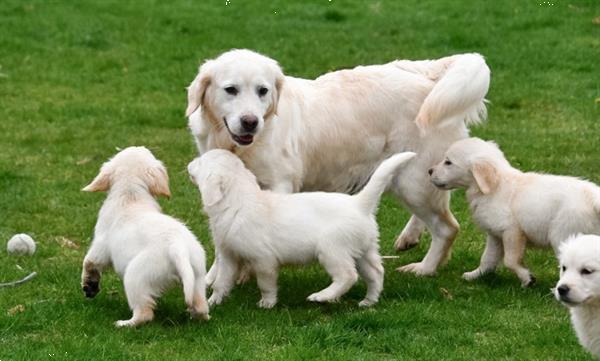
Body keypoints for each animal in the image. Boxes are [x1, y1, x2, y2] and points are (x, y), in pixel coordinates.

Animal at [81, 146, 210, 326]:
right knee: (201, 307)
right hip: (197, 275)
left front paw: (89, 286)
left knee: (144, 313)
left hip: (135, 275)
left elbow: (89, 262)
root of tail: (178, 248)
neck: (130, 195)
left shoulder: (101, 246)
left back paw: (124, 324)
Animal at [188, 49, 492, 278]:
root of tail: (426, 76)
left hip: (413, 182)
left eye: (262, 91)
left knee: (447, 227)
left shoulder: (278, 185)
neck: (239, 146)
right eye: (231, 90)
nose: (251, 122)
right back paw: (411, 238)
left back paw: (424, 268)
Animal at [188, 148, 418, 308]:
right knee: (376, 273)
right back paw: (369, 301)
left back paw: (322, 296)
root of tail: (359, 204)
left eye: (201, 161)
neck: (238, 201)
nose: (188, 164)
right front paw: (213, 302)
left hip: (332, 250)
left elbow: (266, 284)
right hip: (364, 251)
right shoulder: (229, 256)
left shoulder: (263, 260)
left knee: (347, 276)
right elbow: (221, 282)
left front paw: (267, 304)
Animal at [428, 136, 600, 286]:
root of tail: (593, 197)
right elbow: (487, 259)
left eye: (448, 162)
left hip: (562, 235)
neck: (494, 186)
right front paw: (475, 275)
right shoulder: (495, 235)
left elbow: (510, 260)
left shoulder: (511, 231)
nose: (429, 171)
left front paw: (527, 278)